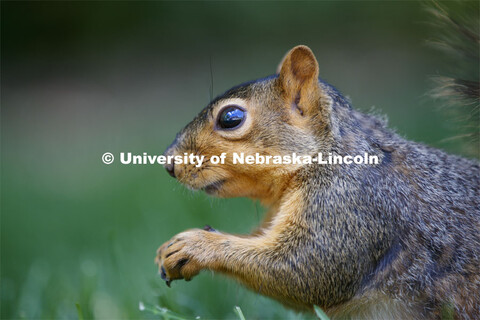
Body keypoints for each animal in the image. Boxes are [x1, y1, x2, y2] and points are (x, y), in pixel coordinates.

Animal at [156, 7, 478, 320]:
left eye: (230, 118)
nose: (169, 164)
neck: (327, 154)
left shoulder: (350, 205)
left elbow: (306, 269)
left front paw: (194, 245)